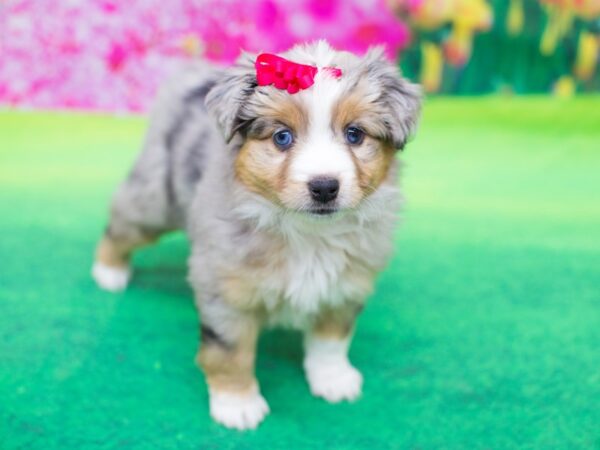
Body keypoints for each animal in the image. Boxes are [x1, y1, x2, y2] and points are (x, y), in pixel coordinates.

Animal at [94, 41, 422, 428]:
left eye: (354, 134)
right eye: (282, 137)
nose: (324, 187)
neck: (308, 235)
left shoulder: (346, 285)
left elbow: (332, 338)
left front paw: (333, 378)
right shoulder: (226, 291)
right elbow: (229, 351)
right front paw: (237, 404)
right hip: (155, 200)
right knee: (122, 221)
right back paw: (108, 271)